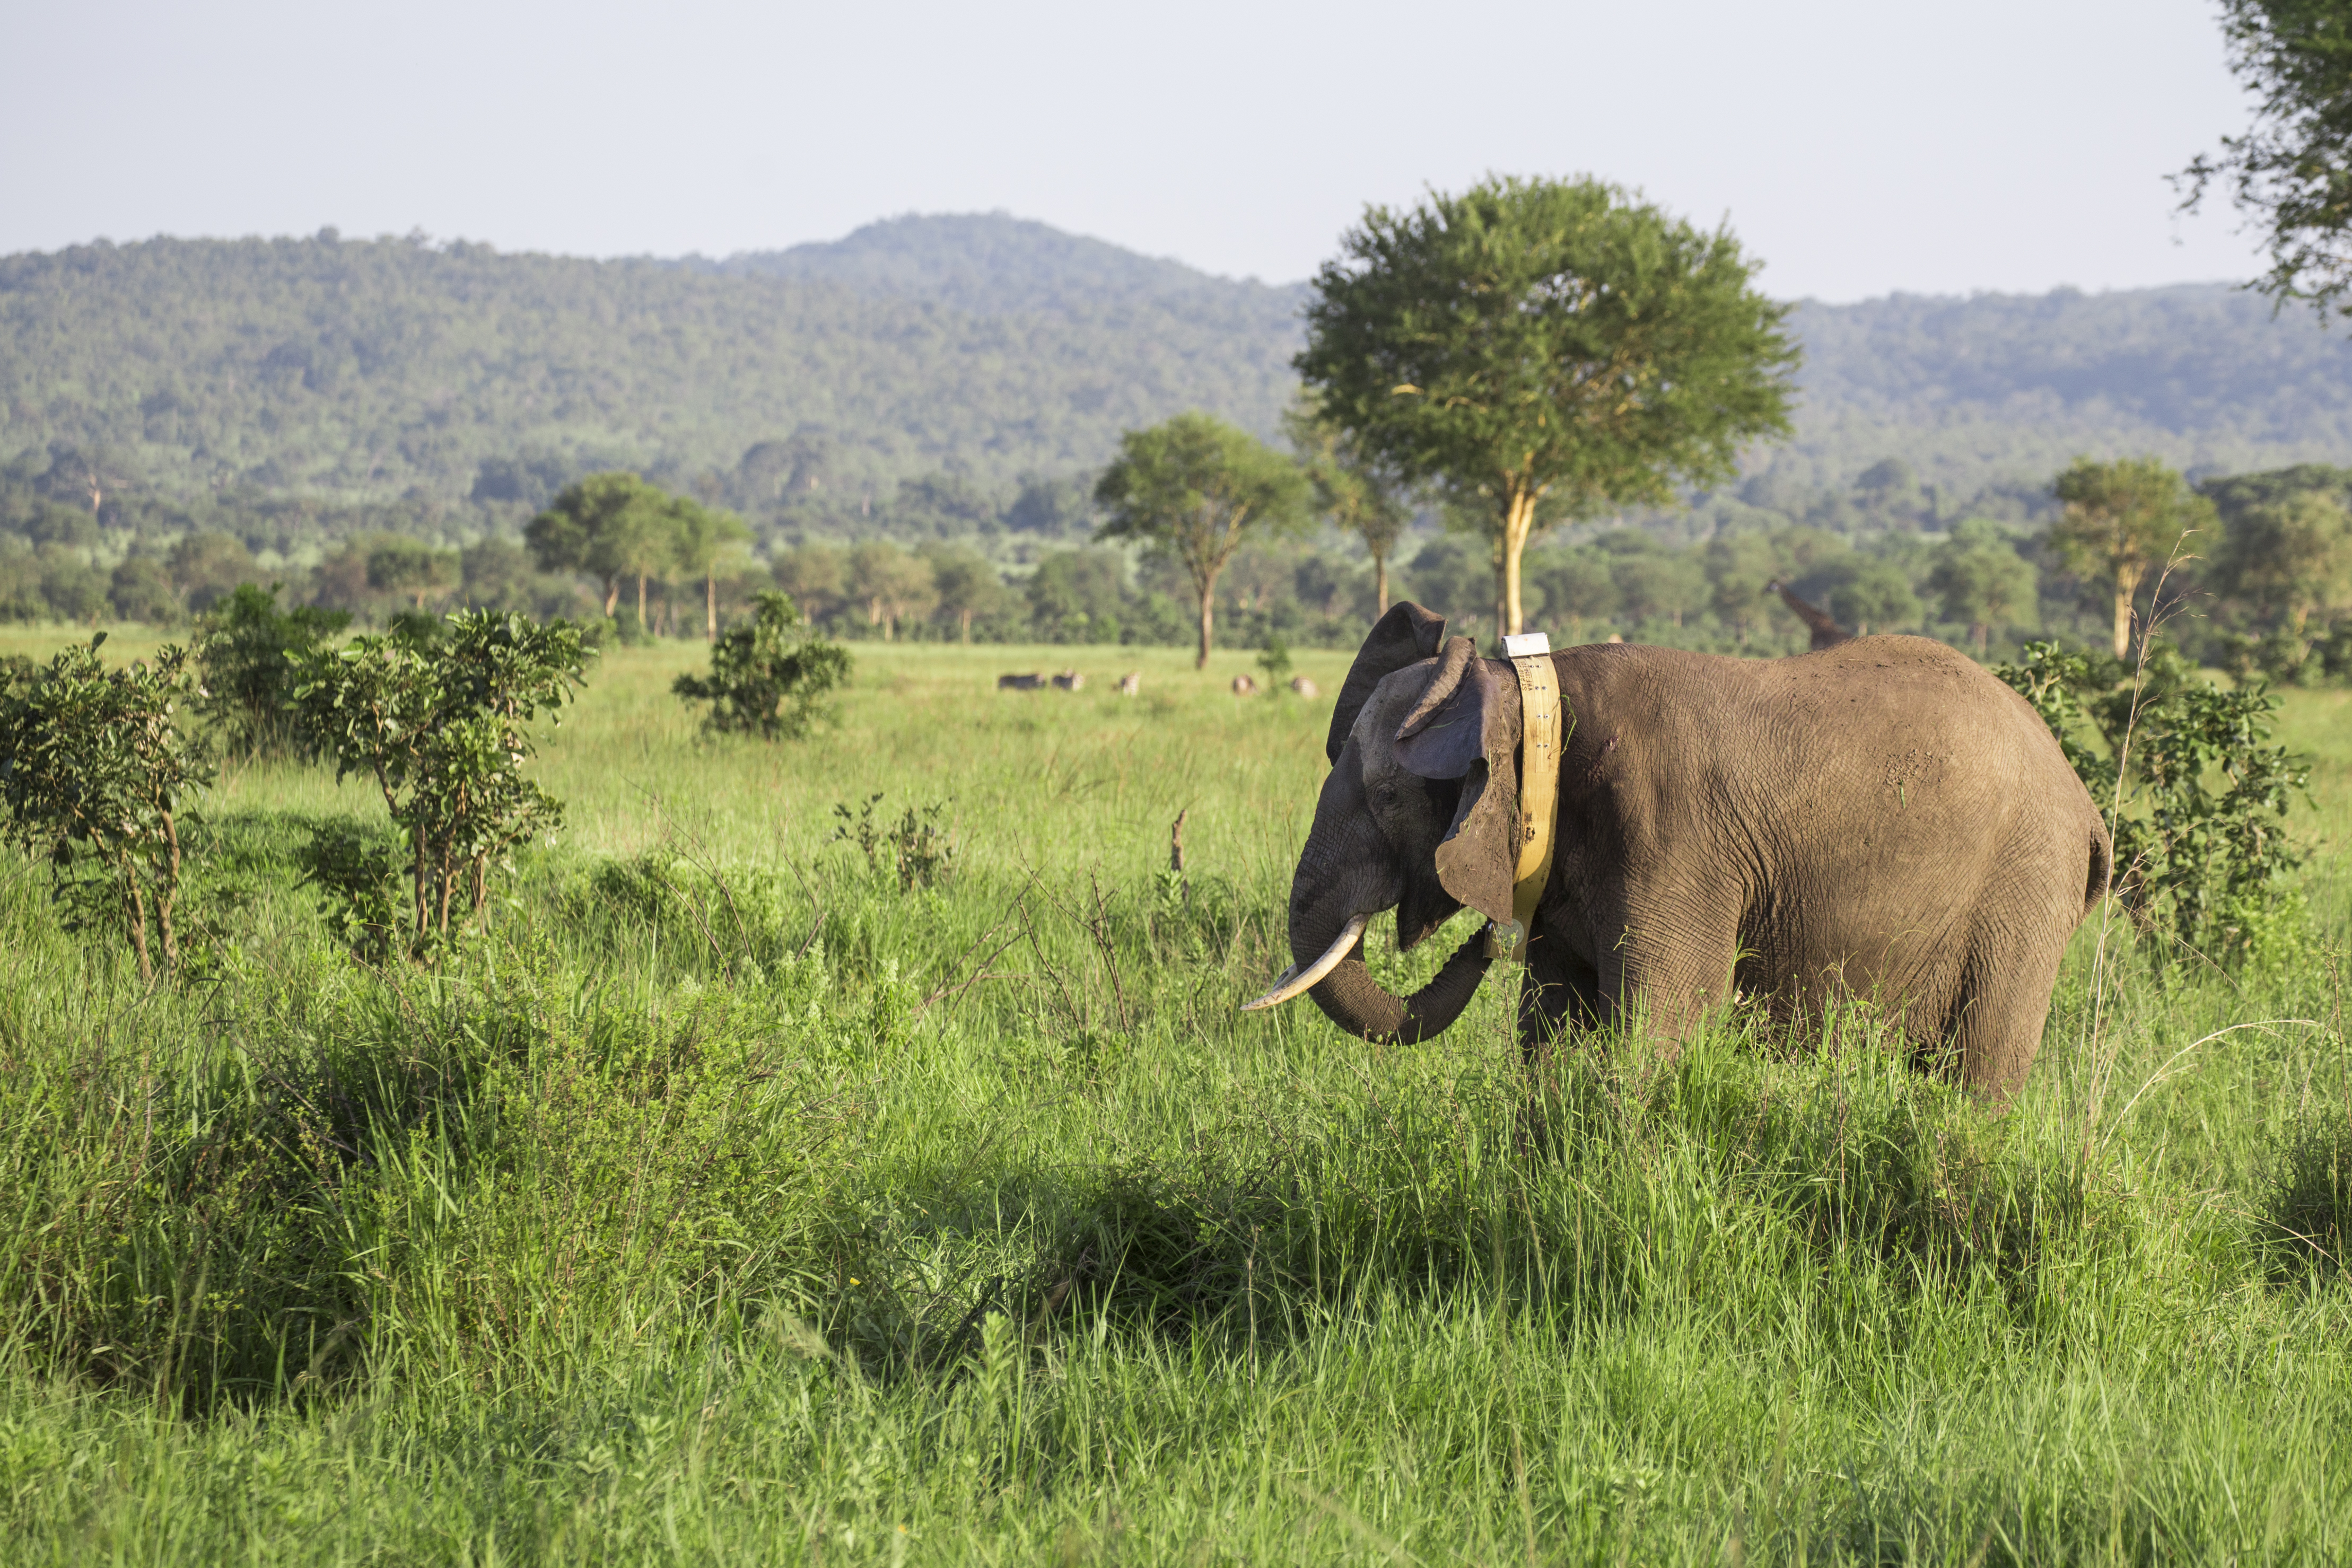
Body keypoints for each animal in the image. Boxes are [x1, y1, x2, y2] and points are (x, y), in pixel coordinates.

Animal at [1251, 603, 2112, 1102]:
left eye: (1389, 796)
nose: (1481, 944)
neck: (1529, 693)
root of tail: (2086, 807)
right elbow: (1548, 1032)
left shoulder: (1671, 840)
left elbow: (1656, 1030)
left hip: (2023, 887)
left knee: (1980, 1073)